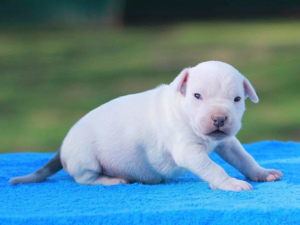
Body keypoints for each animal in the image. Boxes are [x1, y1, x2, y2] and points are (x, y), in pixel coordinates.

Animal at [9, 60, 282, 191]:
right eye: (197, 96)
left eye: (237, 99)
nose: (219, 119)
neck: (181, 110)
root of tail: (62, 148)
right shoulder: (188, 151)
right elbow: (213, 167)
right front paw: (230, 183)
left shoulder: (227, 142)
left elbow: (244, 157)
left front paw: (262, 172)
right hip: (86, 159)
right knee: (84, 178)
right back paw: (112, 180)